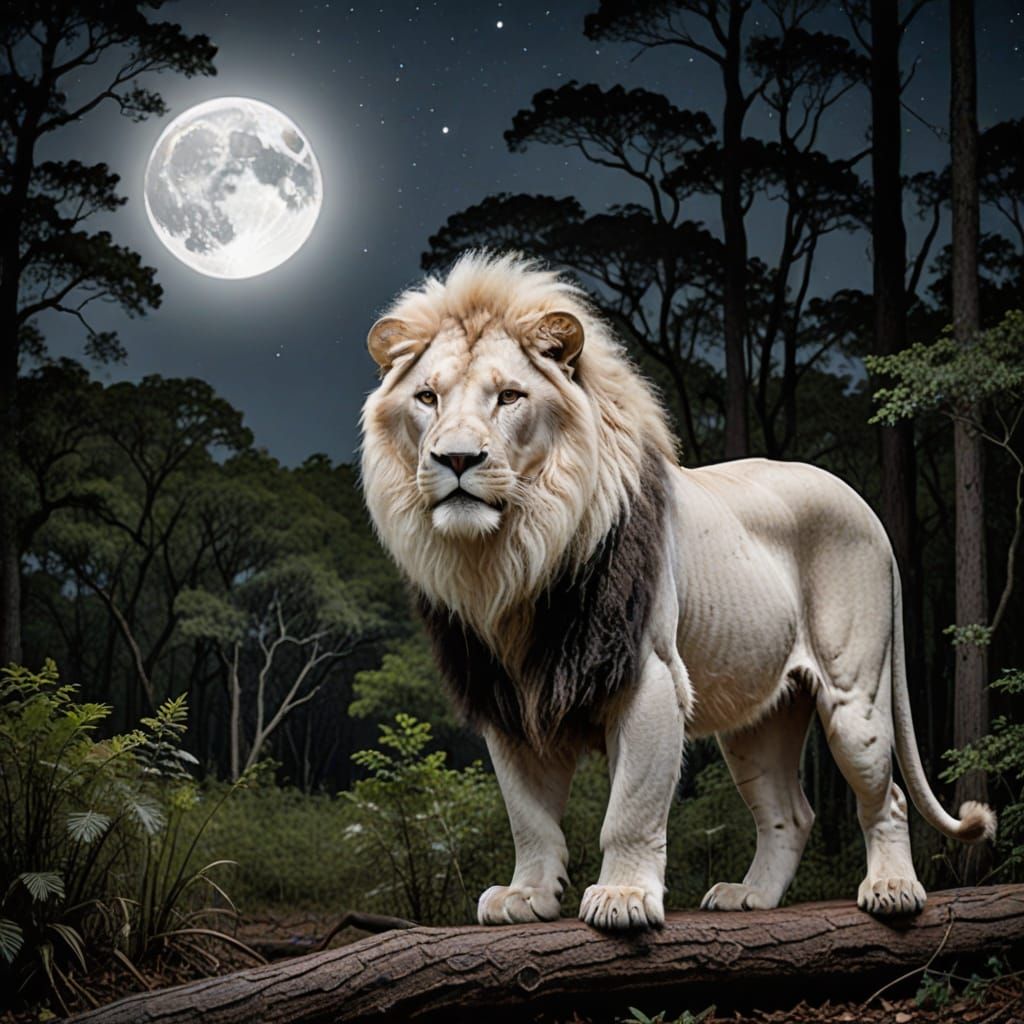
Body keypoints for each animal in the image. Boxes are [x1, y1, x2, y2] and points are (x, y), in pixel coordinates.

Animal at [360, 252, 996, 931]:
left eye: (509, 396)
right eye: (427, 397)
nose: (456, 459)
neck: (514, 559)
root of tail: (865, 507)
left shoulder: (649, 676)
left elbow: (631, 807)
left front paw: (623, 897)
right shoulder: (507, 696)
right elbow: (529, 817)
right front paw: (526, 895)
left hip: (856, 696)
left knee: (889, 796)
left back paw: (893, 888)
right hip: (758, 719)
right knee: (790, 813)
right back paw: (751, 896)